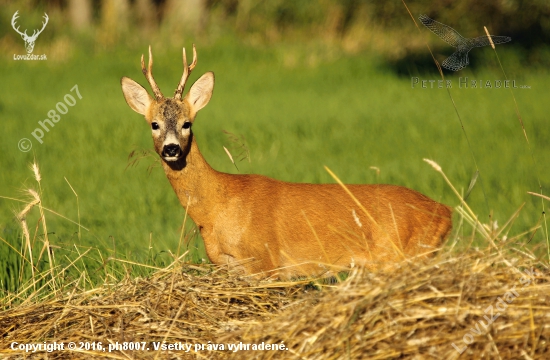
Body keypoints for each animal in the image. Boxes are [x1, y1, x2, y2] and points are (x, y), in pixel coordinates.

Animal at [121, 45, 452, 278]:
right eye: (154, 124)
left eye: (187, 123)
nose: (172, 149)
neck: (217, 207)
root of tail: (445, 212)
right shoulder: (228, 267)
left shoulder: (265, 261)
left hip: (403, 255)